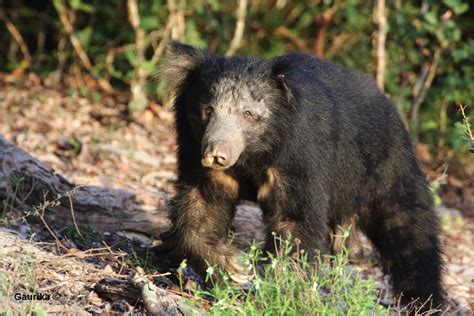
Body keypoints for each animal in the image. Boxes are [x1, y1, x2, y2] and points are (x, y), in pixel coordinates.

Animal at [159, 40, 444, 310]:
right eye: (207, 110)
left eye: (247, 114)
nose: (216, 155)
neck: (255, 153)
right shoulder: (196, 152)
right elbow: (203, 206)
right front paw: (230, 268)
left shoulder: (300, 157)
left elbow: (295, 221)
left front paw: (280, 289)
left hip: (386, 167)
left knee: (410, 229)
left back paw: (426, 301)